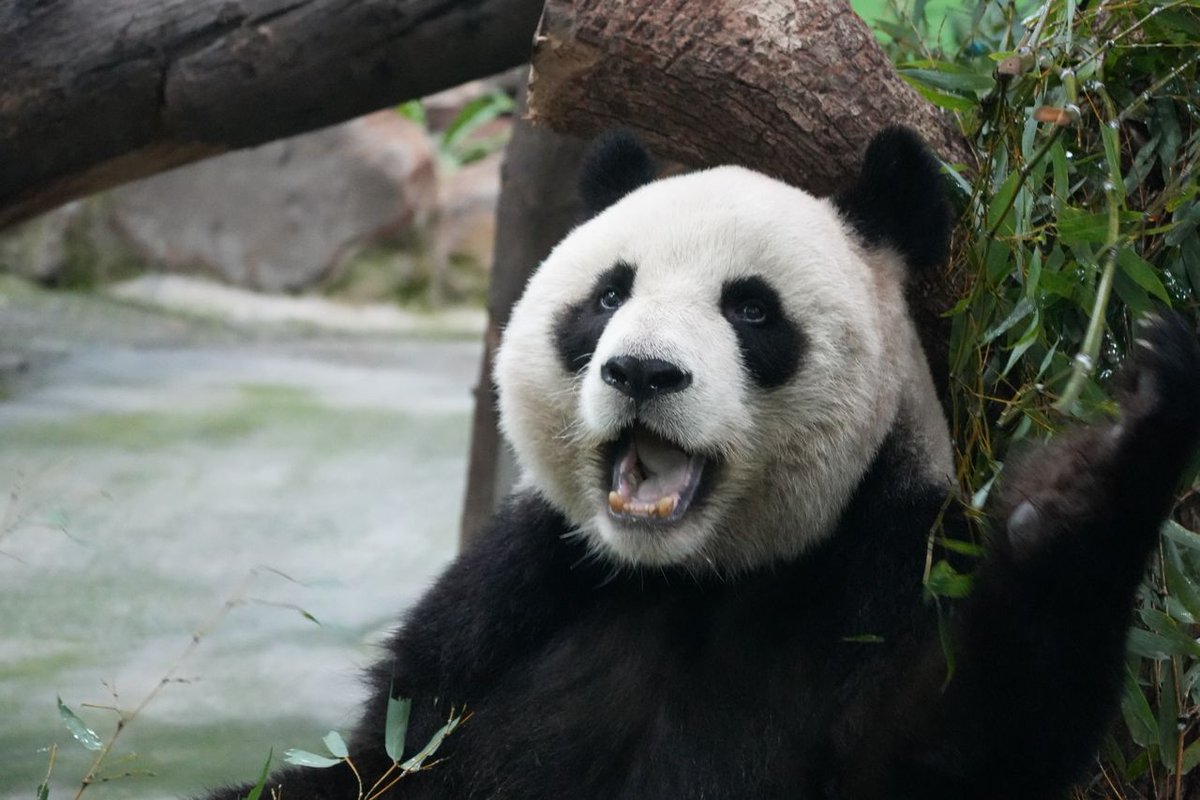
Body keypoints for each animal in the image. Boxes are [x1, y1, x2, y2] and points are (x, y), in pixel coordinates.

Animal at [205, 127, 1200, 800]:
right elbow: (379, 757)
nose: (643, 371)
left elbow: (944, 745)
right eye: (610, 294)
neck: (690, 576)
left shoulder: (885, 561)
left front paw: (1098, 471)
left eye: (751, 310)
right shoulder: (518, 591)